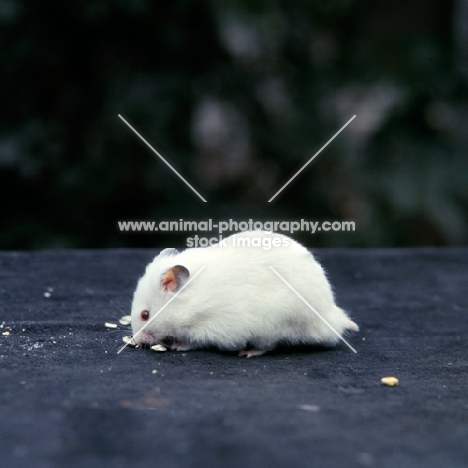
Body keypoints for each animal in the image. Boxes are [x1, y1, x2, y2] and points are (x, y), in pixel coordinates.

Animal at [132, 231, 358, 358]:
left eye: (145, 315)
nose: (136, 341)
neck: (188, 303)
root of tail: (330, 313)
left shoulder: (209, 326)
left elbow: (194, 341)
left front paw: (178, 346)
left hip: (275, 323)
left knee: (268, 346)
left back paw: (247, 353)